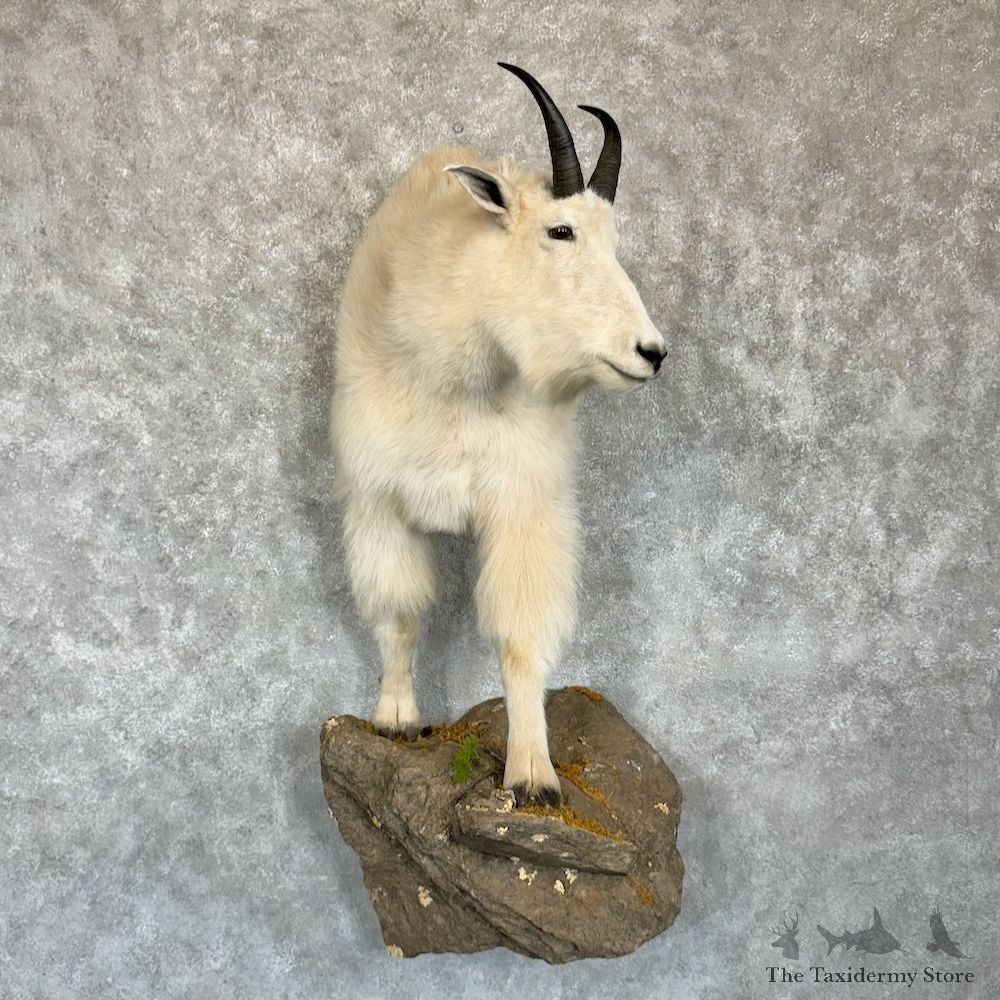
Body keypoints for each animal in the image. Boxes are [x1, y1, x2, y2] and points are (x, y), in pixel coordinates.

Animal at [330, 63, 665, 806]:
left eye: (614, 242)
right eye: (561, 230)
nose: (651, 352)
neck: (460, 381)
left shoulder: (524, 507)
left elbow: (519, 642)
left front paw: (533, 776)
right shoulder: (379, 501)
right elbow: (399, 613)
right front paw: (395, 717)